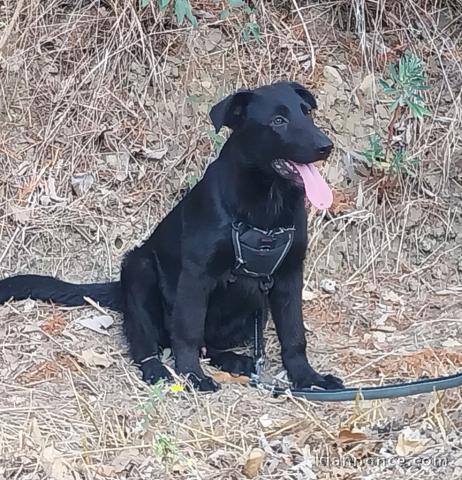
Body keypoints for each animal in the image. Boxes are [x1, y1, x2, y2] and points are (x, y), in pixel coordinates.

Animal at [0, 80, 342, 392]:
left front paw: (308, 378)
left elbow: (295, 335)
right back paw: (157, 369)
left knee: (209, 342)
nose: (326, 146)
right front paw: (192, 375)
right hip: (139, 270)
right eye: (278, 120)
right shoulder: (196, 275)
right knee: (146, 340)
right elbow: (187, 331)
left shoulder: (289, 275)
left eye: (307, 113)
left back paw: (235, 360)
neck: (266, 205)